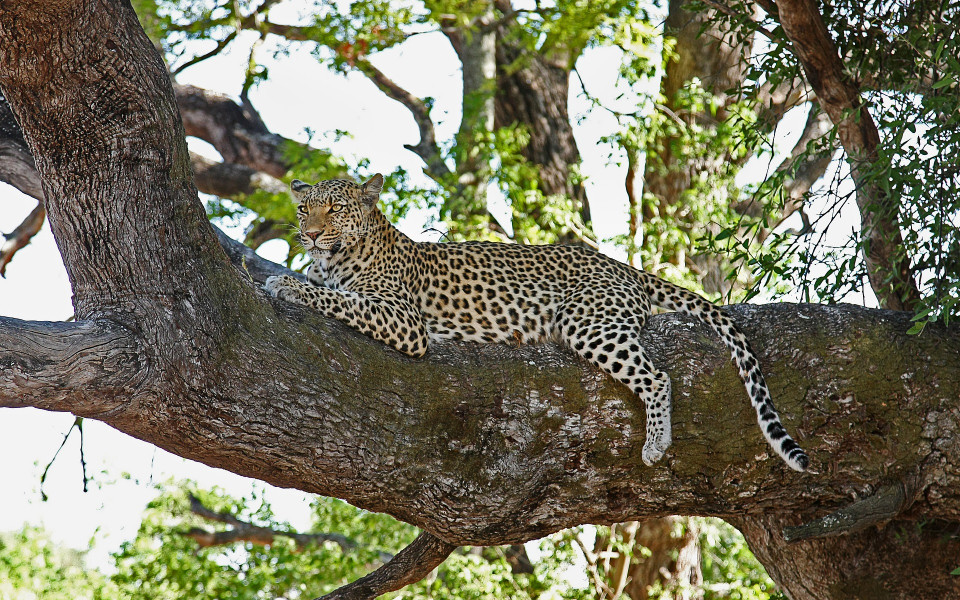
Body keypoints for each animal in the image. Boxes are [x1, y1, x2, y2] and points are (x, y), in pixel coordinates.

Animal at [264, 174, 809, 472]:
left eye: (335, 208)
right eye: (303, 209)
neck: (336, 258)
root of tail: (620, 265)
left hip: (588, 323)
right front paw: (293, 276)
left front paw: (286, 284)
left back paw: (657, 442)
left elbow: (339, 299)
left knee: (657, 377)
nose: (310, 234)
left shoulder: (404, 321)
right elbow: (333, 291)